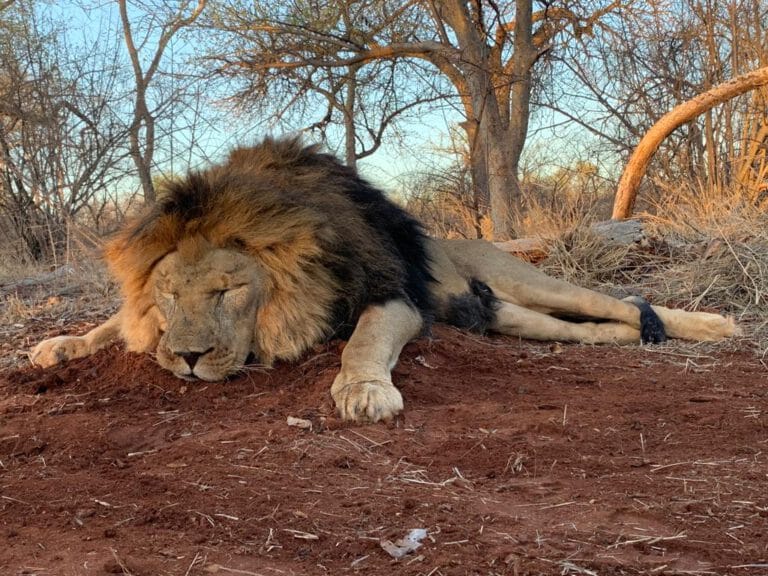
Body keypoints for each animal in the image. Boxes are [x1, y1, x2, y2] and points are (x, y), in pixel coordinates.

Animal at [31, 137, 736, 422]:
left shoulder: (391, 295)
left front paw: (364, 392)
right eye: (169, 294)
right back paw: (635, 340)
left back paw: (712, 325)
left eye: (229, 290)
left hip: (531, 284)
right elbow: (112, 324)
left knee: (617, 300)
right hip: (516, 319)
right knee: (597, 329)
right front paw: (60, 344)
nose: (187, 359)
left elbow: (362, 343)